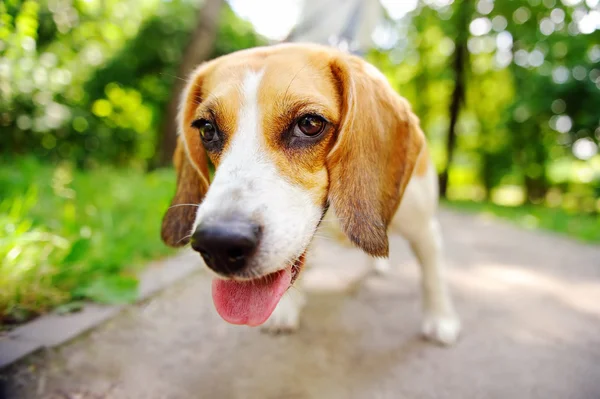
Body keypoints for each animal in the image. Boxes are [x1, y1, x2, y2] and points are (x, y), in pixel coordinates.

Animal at [159, 43, 460, 344]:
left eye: (310, 124)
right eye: (207, 129)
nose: (219, 243)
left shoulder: (424, 230)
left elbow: (433, 277)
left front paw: (440, 319)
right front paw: (287, 307)